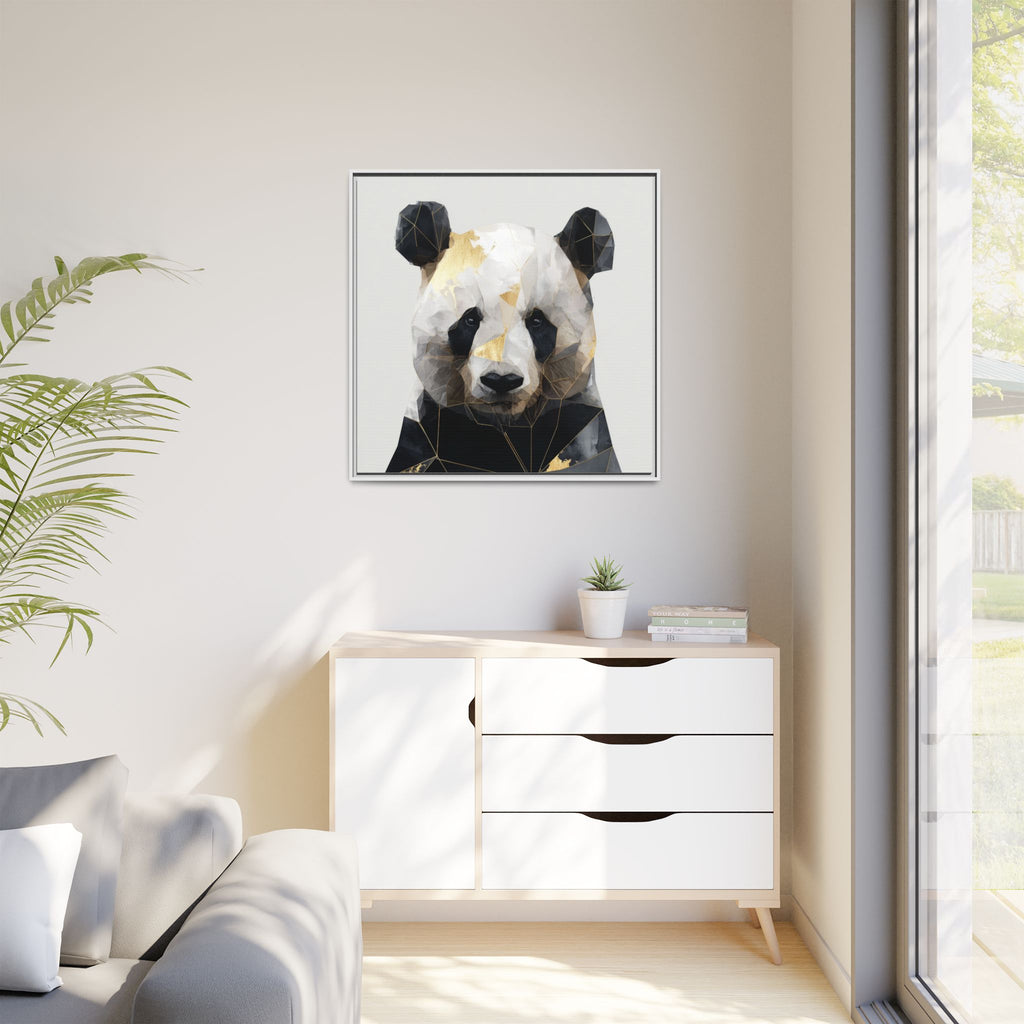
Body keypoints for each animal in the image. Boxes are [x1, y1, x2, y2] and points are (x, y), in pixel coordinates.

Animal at [387, 201, 620, 474]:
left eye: (537, 321)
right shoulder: (428, 433)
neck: (506, 426)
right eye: (470, 320)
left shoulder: (577, 428)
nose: (501, 380)